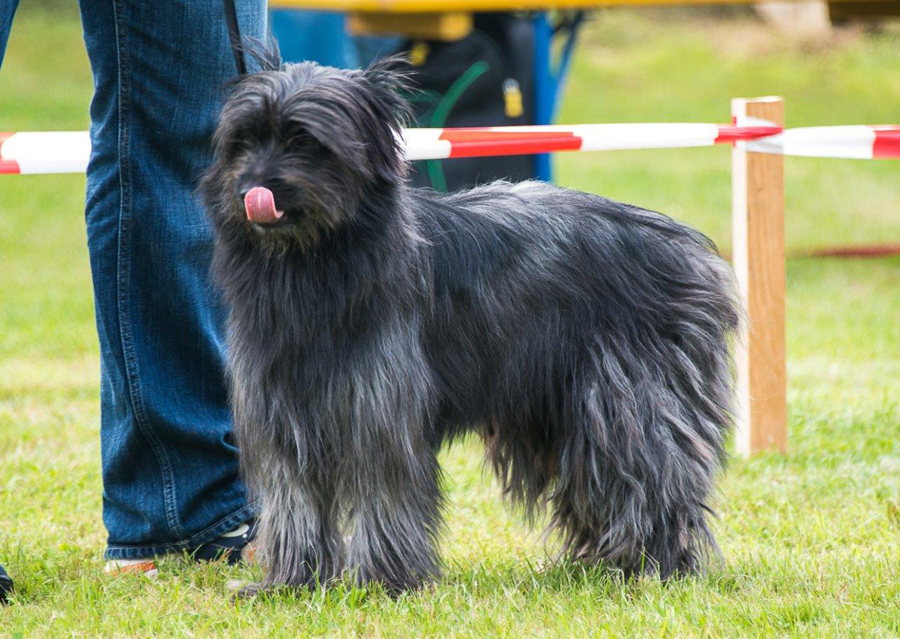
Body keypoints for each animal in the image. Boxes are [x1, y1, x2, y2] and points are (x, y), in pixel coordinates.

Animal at [200, 54, 741, 596]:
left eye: (305, 141)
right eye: (244, 140)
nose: (251, 190)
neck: (313, 263)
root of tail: (689, 246)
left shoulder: (379, 409)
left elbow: (384, 491)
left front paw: (381, 582)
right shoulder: (281, 410)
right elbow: (294, 500)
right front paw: (292, 581)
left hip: (630, 400)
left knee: (650, 473)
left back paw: (655, 567)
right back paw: (611, 563)